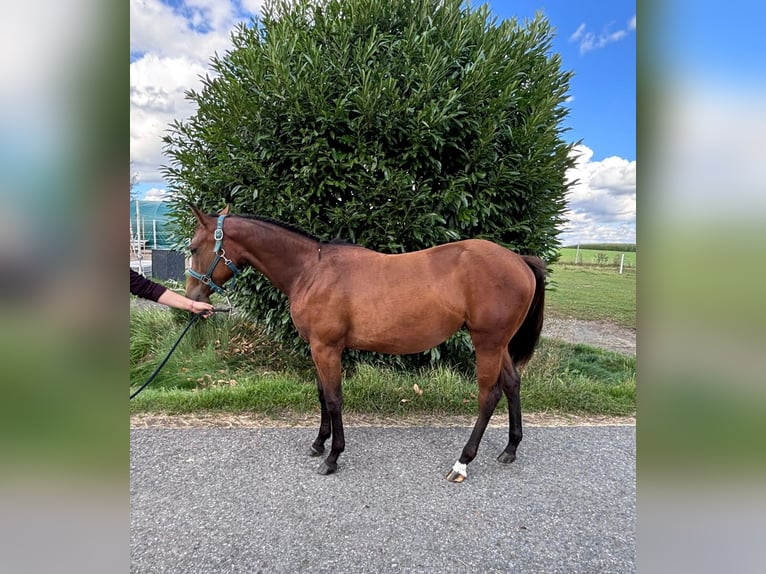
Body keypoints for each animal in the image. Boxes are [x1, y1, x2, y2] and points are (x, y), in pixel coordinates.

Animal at [185, 205, 546, 482]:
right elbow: (321, 394)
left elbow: (333, 399)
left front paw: (332, 457)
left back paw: (462, 463)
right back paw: (510, 449)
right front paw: (319, 443)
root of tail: (519, 260)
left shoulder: (327, 348)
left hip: (487, 343)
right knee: (512, 383)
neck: (311, 270)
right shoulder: (317, 348)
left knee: (489, 395)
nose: (194, 297)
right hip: (500, 344)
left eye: (192, 248)